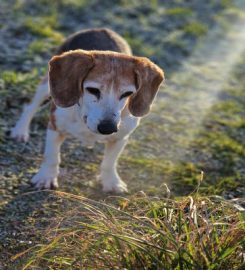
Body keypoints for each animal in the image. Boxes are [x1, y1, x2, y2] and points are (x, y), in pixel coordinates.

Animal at [11, 28, 165, 194]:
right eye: (92, 90)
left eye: (127, 94)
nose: (108, 128)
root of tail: (101, 29)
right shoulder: (55, 127)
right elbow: (52, 157)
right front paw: (46, 177)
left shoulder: (121, 138)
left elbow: (109, 162)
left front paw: (111, 181)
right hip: (46, 87)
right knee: (30, 107)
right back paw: (20, 131)